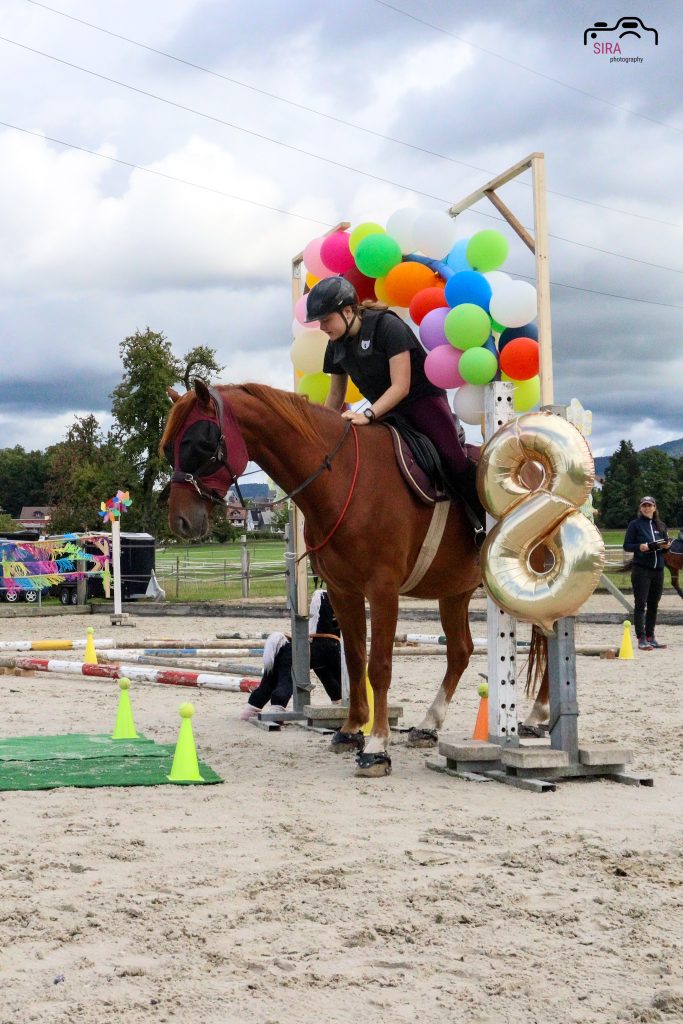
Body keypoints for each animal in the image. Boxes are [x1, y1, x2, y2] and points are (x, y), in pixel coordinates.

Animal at [161, 379, 485, 777]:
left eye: (202, 443)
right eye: (169, 447)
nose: (181, 522)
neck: (345, 479)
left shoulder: (383, 589)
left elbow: (379, 666)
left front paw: (377, 746)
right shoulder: (343, 590)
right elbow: (356, 659)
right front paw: (351, 730)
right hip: (455, 591)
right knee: (460, 651)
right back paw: (428, 725)